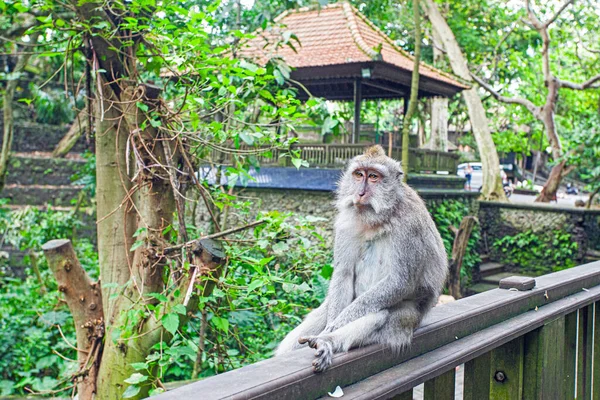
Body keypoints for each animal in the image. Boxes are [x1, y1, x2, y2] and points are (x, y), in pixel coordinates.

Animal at [274, 144, 448, 372]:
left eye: (373, 176)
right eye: (359, 175)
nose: (360, 193)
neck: (378, 218)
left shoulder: (410, 228)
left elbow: (400, 281)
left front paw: (333, 328)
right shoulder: (345, 223)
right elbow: (344, 273)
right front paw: (330, 322)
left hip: (406, 319)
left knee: (379, 314)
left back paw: (327, 341)